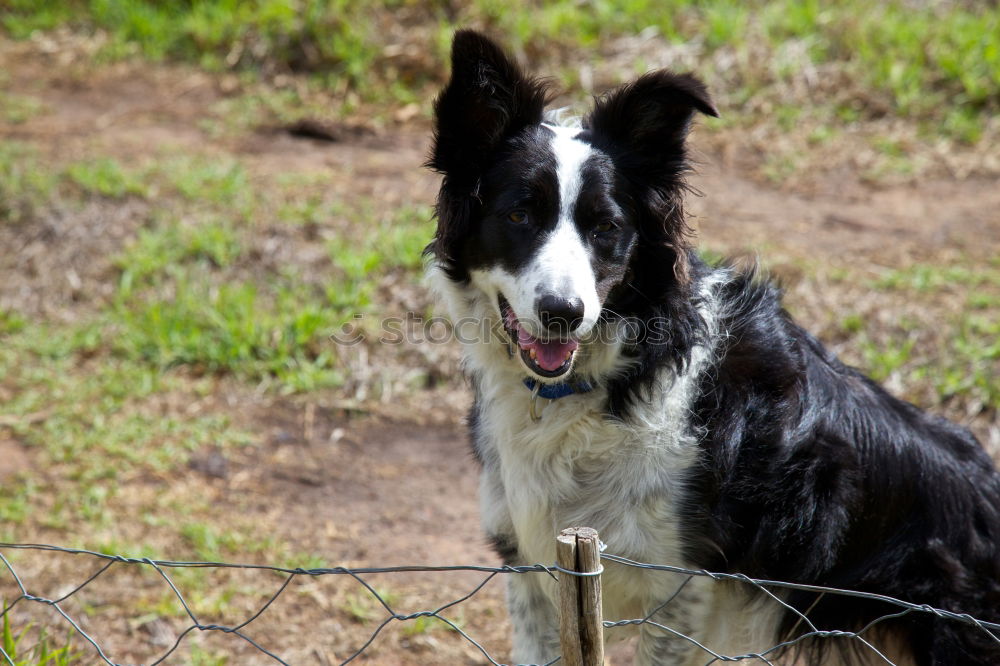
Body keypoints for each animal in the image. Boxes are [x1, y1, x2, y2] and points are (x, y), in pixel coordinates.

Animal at [424, 31, 1000, 664]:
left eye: (606, 228)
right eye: (519, 214)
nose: (563, 314)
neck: (608, 379)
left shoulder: (683, 589)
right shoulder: (532, 567)